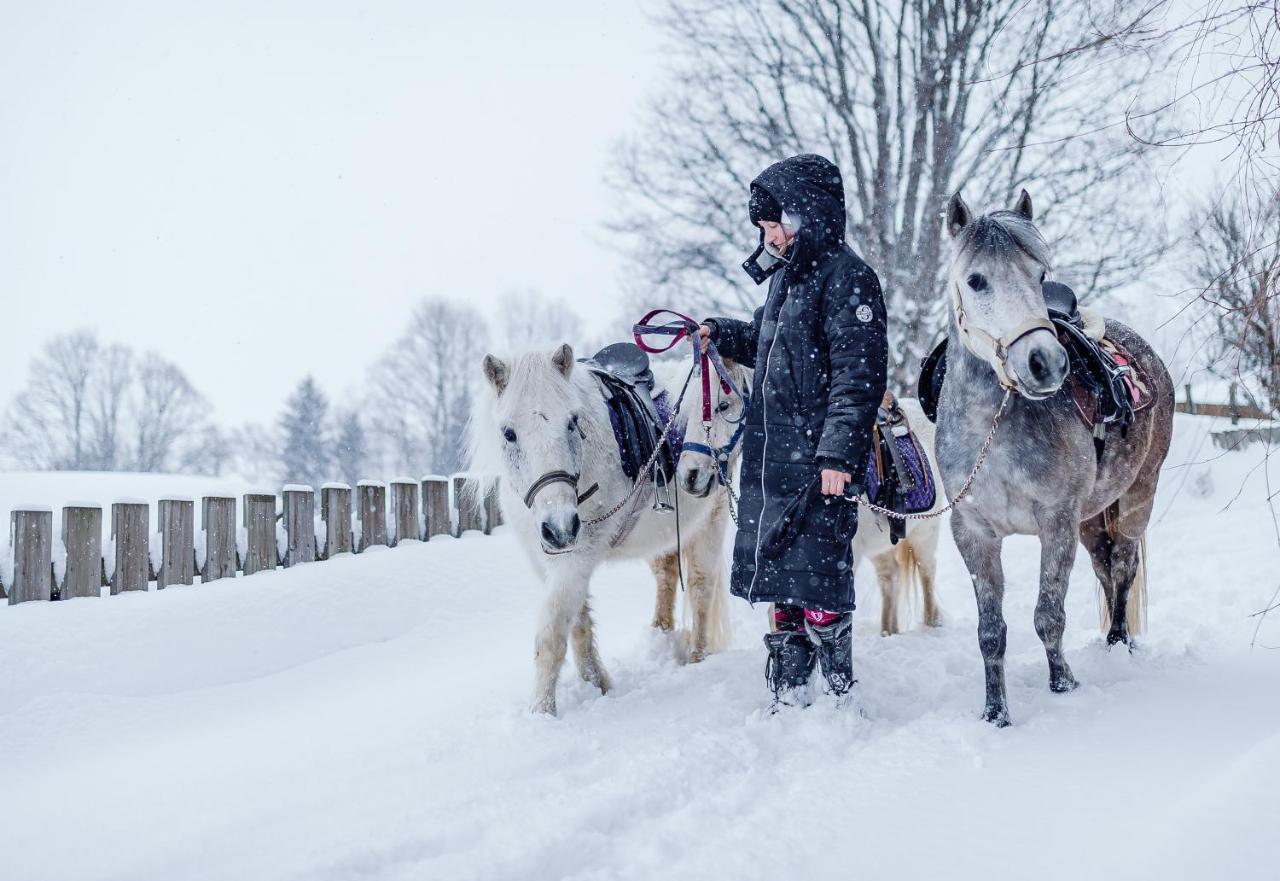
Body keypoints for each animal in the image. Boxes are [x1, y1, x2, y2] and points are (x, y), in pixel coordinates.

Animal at [473, 343, 747, 717]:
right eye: (508, 433)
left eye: (572, 423)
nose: (560, 527)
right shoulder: (546, 559)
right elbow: (578, 624)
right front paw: (597, 685)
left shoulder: (575, 558)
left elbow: (551, 635)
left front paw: (542, 713)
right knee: (665, 576)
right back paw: (660, 634)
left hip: (710, 518)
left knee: (701, 588)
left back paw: (696, 660)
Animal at [942, 192, 1172, 727]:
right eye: (975, 279)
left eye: (1039, 274)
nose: (1044, 363)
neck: (993, 430)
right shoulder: (973, 532)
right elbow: (991, 632)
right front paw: (995, 713)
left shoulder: (1057, 521)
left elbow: (1048, 613)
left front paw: (1063, 684)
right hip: (1092, 518)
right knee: (1105, 566)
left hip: (1137, 497)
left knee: (1123, 567)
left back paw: (1118, 643)